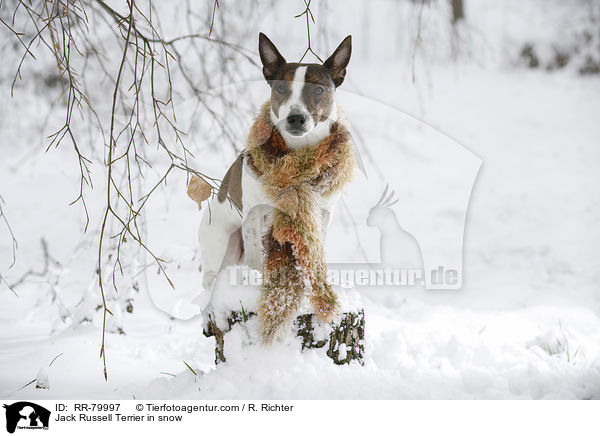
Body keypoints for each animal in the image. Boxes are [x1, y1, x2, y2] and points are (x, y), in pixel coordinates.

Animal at [195, 32, 354, 304]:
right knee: (211, 279)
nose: (296, 118)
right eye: (281, 88)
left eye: (318, 89)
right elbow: (255, 258)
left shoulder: (321, 215)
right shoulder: (253, 213)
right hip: (220, 244)